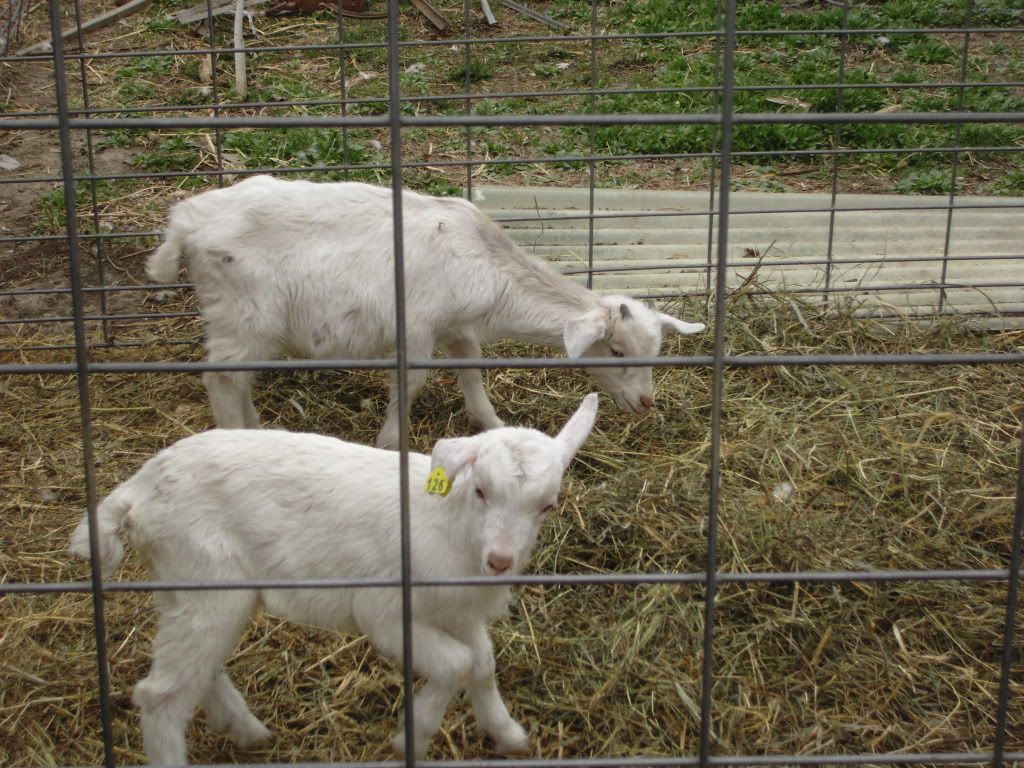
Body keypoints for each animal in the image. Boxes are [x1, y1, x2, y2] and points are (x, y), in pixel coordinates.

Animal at [69, 394, 599, 765]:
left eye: (547, 505)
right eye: (482, 491)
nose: (500, 561)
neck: (452, 525)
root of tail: (138, 490)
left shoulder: (456, 609)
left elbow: (483, 663)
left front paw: (508, 735)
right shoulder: (384, 612)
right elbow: (457, 663)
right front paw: (410, 739)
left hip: (187, 588)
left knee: (196, 670)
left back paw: (247, 731)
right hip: (205, 580)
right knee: (159, 696)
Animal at [147, 175, 703, 448]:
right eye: (616, 350)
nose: (646, 403)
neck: (487, 262)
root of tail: (185, 222)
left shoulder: (454, 325)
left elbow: (472, 368)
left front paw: (493, 423)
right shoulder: (415, 326)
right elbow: (410, 384)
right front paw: (390, 444)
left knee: (236, 378)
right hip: (242, 313)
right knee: (222, 377)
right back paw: (237, 436)